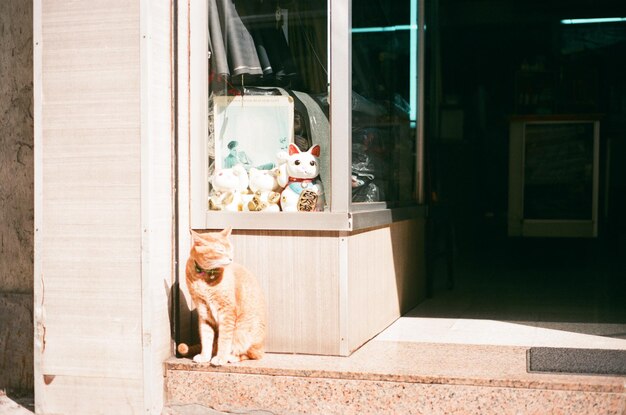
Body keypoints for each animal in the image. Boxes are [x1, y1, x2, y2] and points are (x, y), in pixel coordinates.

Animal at [183, 228, 266, 368]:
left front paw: (221, 358)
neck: (204, 278)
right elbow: (206, 338)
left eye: (230, 249)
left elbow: (224, 339)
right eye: (220, 250)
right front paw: (205, 356)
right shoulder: (203, 311)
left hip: (244, 331)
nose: (231, 258)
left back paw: (231, 357)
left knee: (251, 354)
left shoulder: (227, 312)